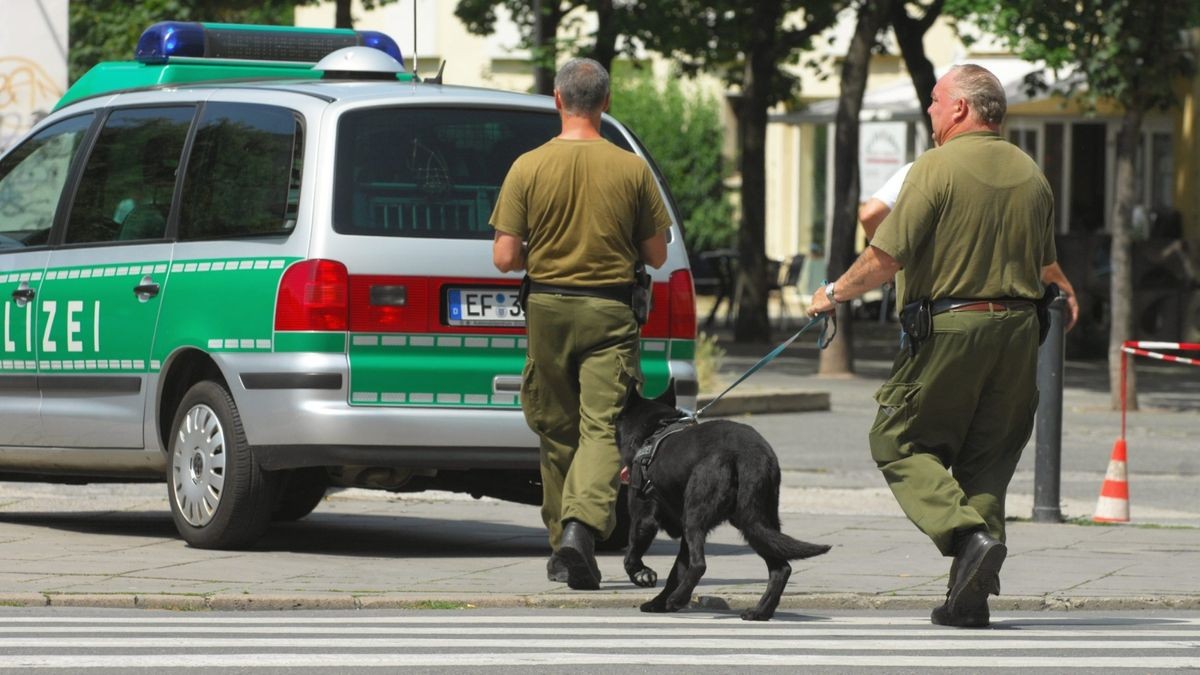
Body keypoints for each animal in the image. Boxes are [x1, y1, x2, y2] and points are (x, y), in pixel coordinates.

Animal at [619, 381, 825, 619]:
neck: (655, 428)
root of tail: (750, 454)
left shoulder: (643, 519)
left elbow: (632, 555)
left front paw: (642, 575)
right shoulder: (683, 536)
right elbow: (677, 571)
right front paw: (658, 603)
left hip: (697, 518)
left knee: (700, 565)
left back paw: (678, 599)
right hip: (755, 524)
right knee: (781, 568)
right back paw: (760, 611)